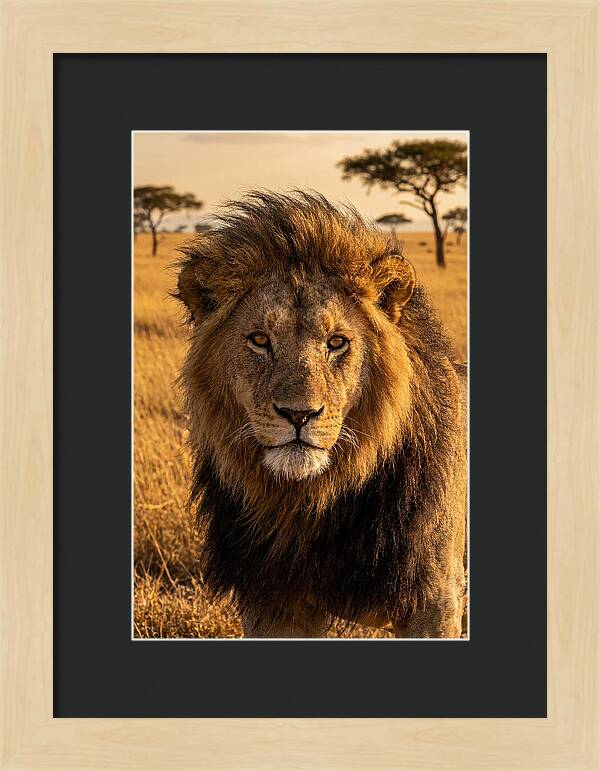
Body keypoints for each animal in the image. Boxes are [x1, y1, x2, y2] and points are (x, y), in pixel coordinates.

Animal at [175, 190, 467, 638]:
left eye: (337, 342)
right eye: (259, 340)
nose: (298, 415)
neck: (311, 503)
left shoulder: (434, 599)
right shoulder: (273, 602)